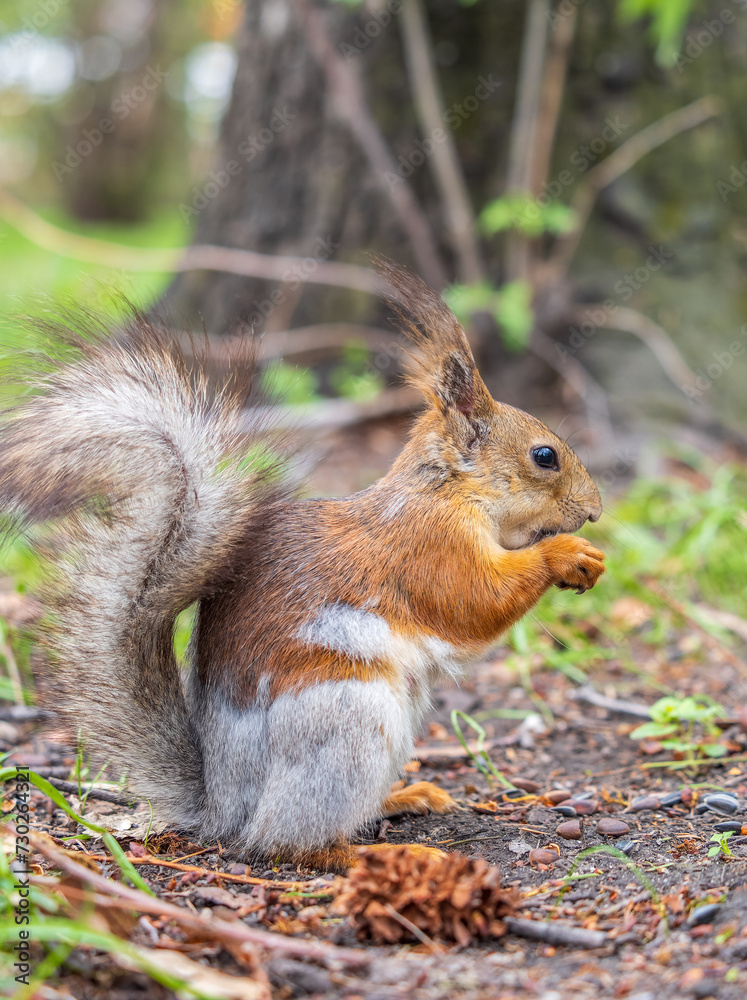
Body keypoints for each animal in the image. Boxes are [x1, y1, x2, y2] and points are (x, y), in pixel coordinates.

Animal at [0, 265, 604, 870]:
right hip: (345, 723)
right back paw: (375, 855)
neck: (448, 489)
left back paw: (406, 796)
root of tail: (225, 808)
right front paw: (567, 555)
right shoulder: (429, 547)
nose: (596, 510)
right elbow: (475, 602)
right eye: (544, 456)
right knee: (287, 843)